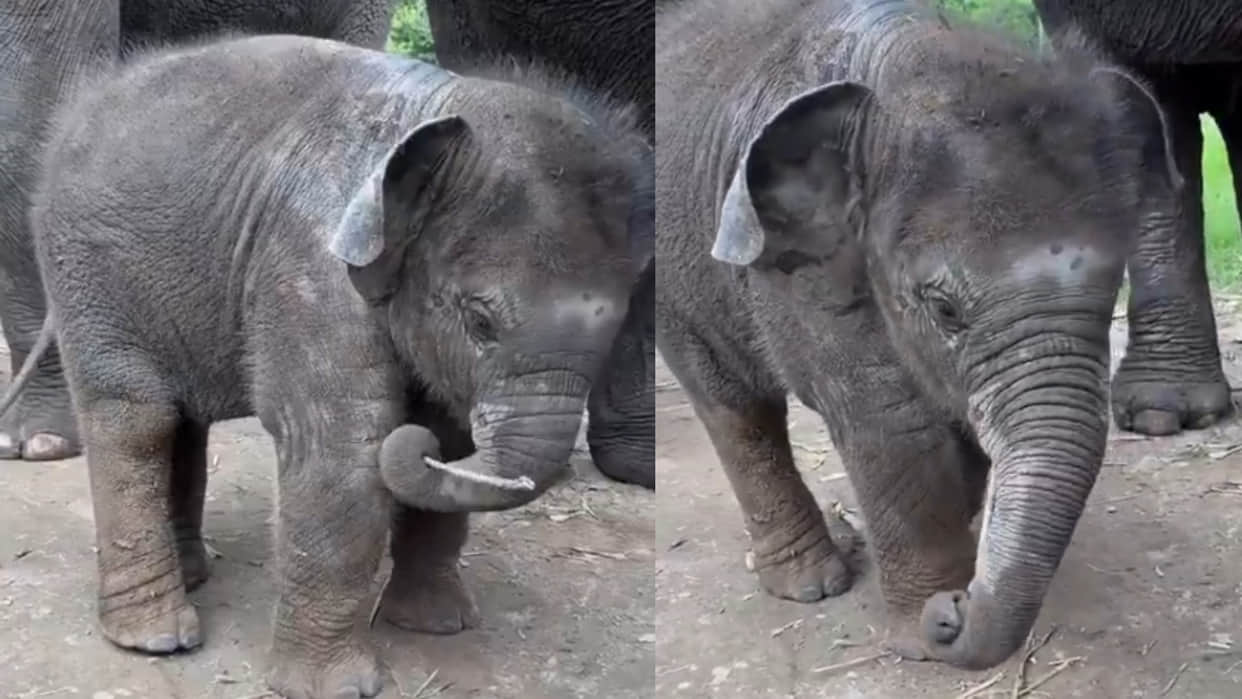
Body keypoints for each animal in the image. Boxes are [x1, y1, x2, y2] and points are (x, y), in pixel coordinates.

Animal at [656, 0, 1171, 671]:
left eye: (1114, 293)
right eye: (945, 309)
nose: (954, 611)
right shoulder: (801, 266)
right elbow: (893, 424)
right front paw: (924, 634)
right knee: (734, 404)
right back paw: (810, 583)